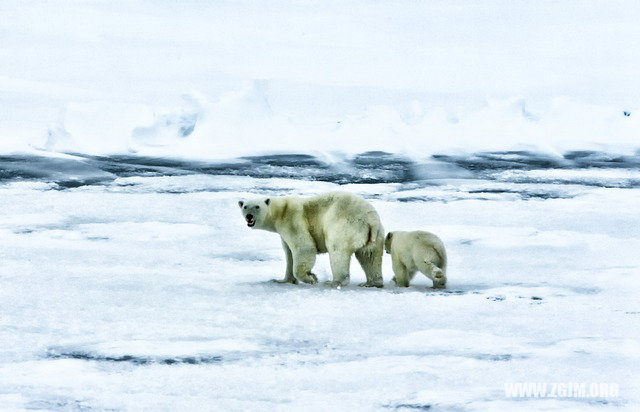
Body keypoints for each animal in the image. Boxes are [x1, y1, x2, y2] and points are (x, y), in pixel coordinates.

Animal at [238, 192, 382, 286]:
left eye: (257, 206)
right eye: (245, 206)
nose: (249, 216)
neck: (281, 211)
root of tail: (371, 220)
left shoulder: (292, 221)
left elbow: (304, 247)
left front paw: (312, 278)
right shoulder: (283, 233)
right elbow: (289, 253)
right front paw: (282, 280)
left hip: (344, 225)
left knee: (337, 250)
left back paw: (334, 282)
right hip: (375, 234)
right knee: (370, 256)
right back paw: (372, 283)